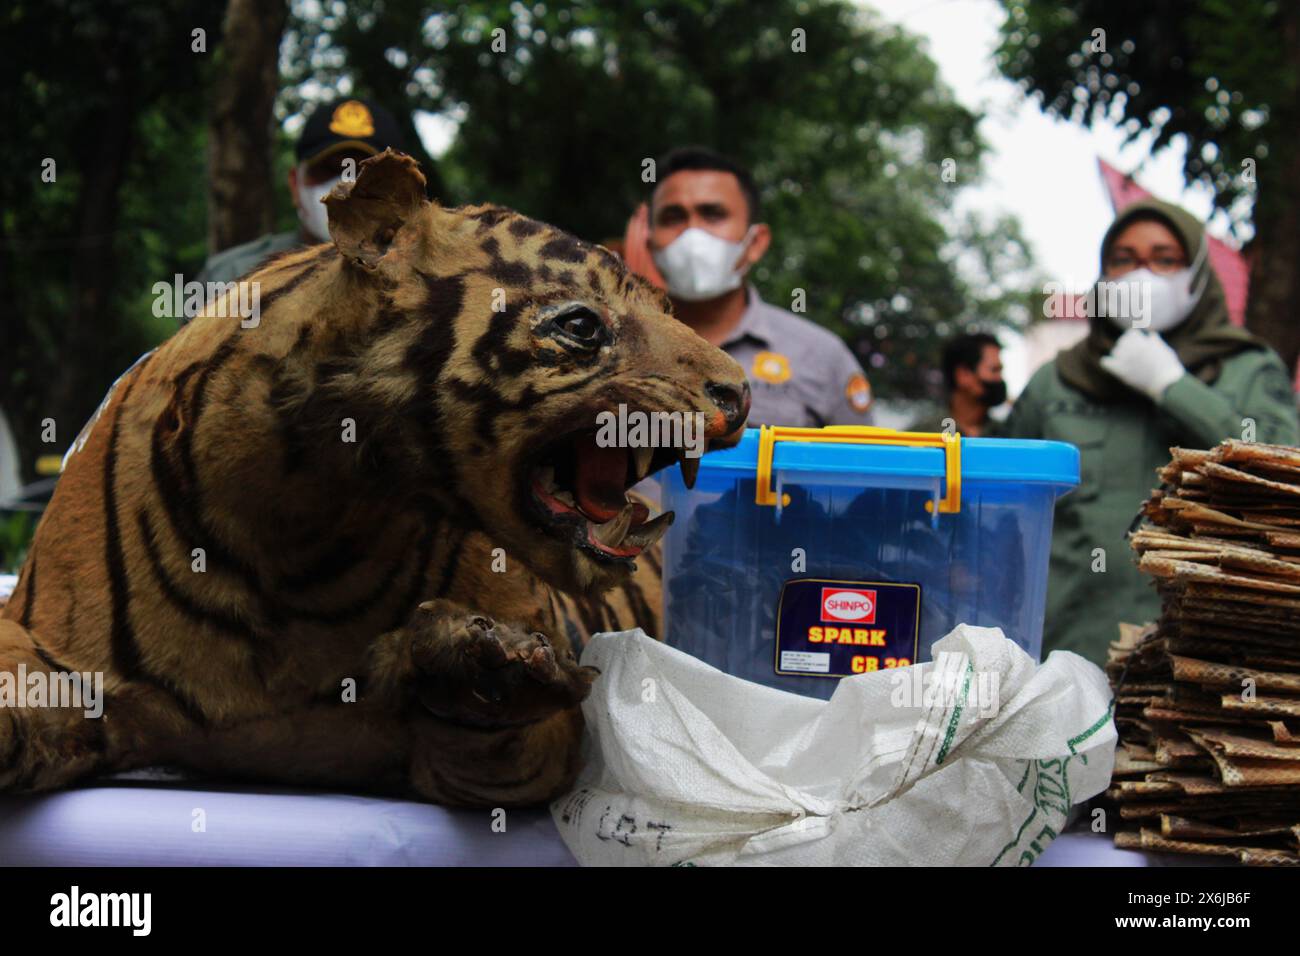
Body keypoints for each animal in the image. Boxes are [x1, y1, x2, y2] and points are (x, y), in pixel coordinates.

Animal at [0, 151, 754, 806]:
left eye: (671, 310)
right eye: (581, 325)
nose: (741, 392)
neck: (303, 517)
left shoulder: (525, 751)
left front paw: (488, 667)